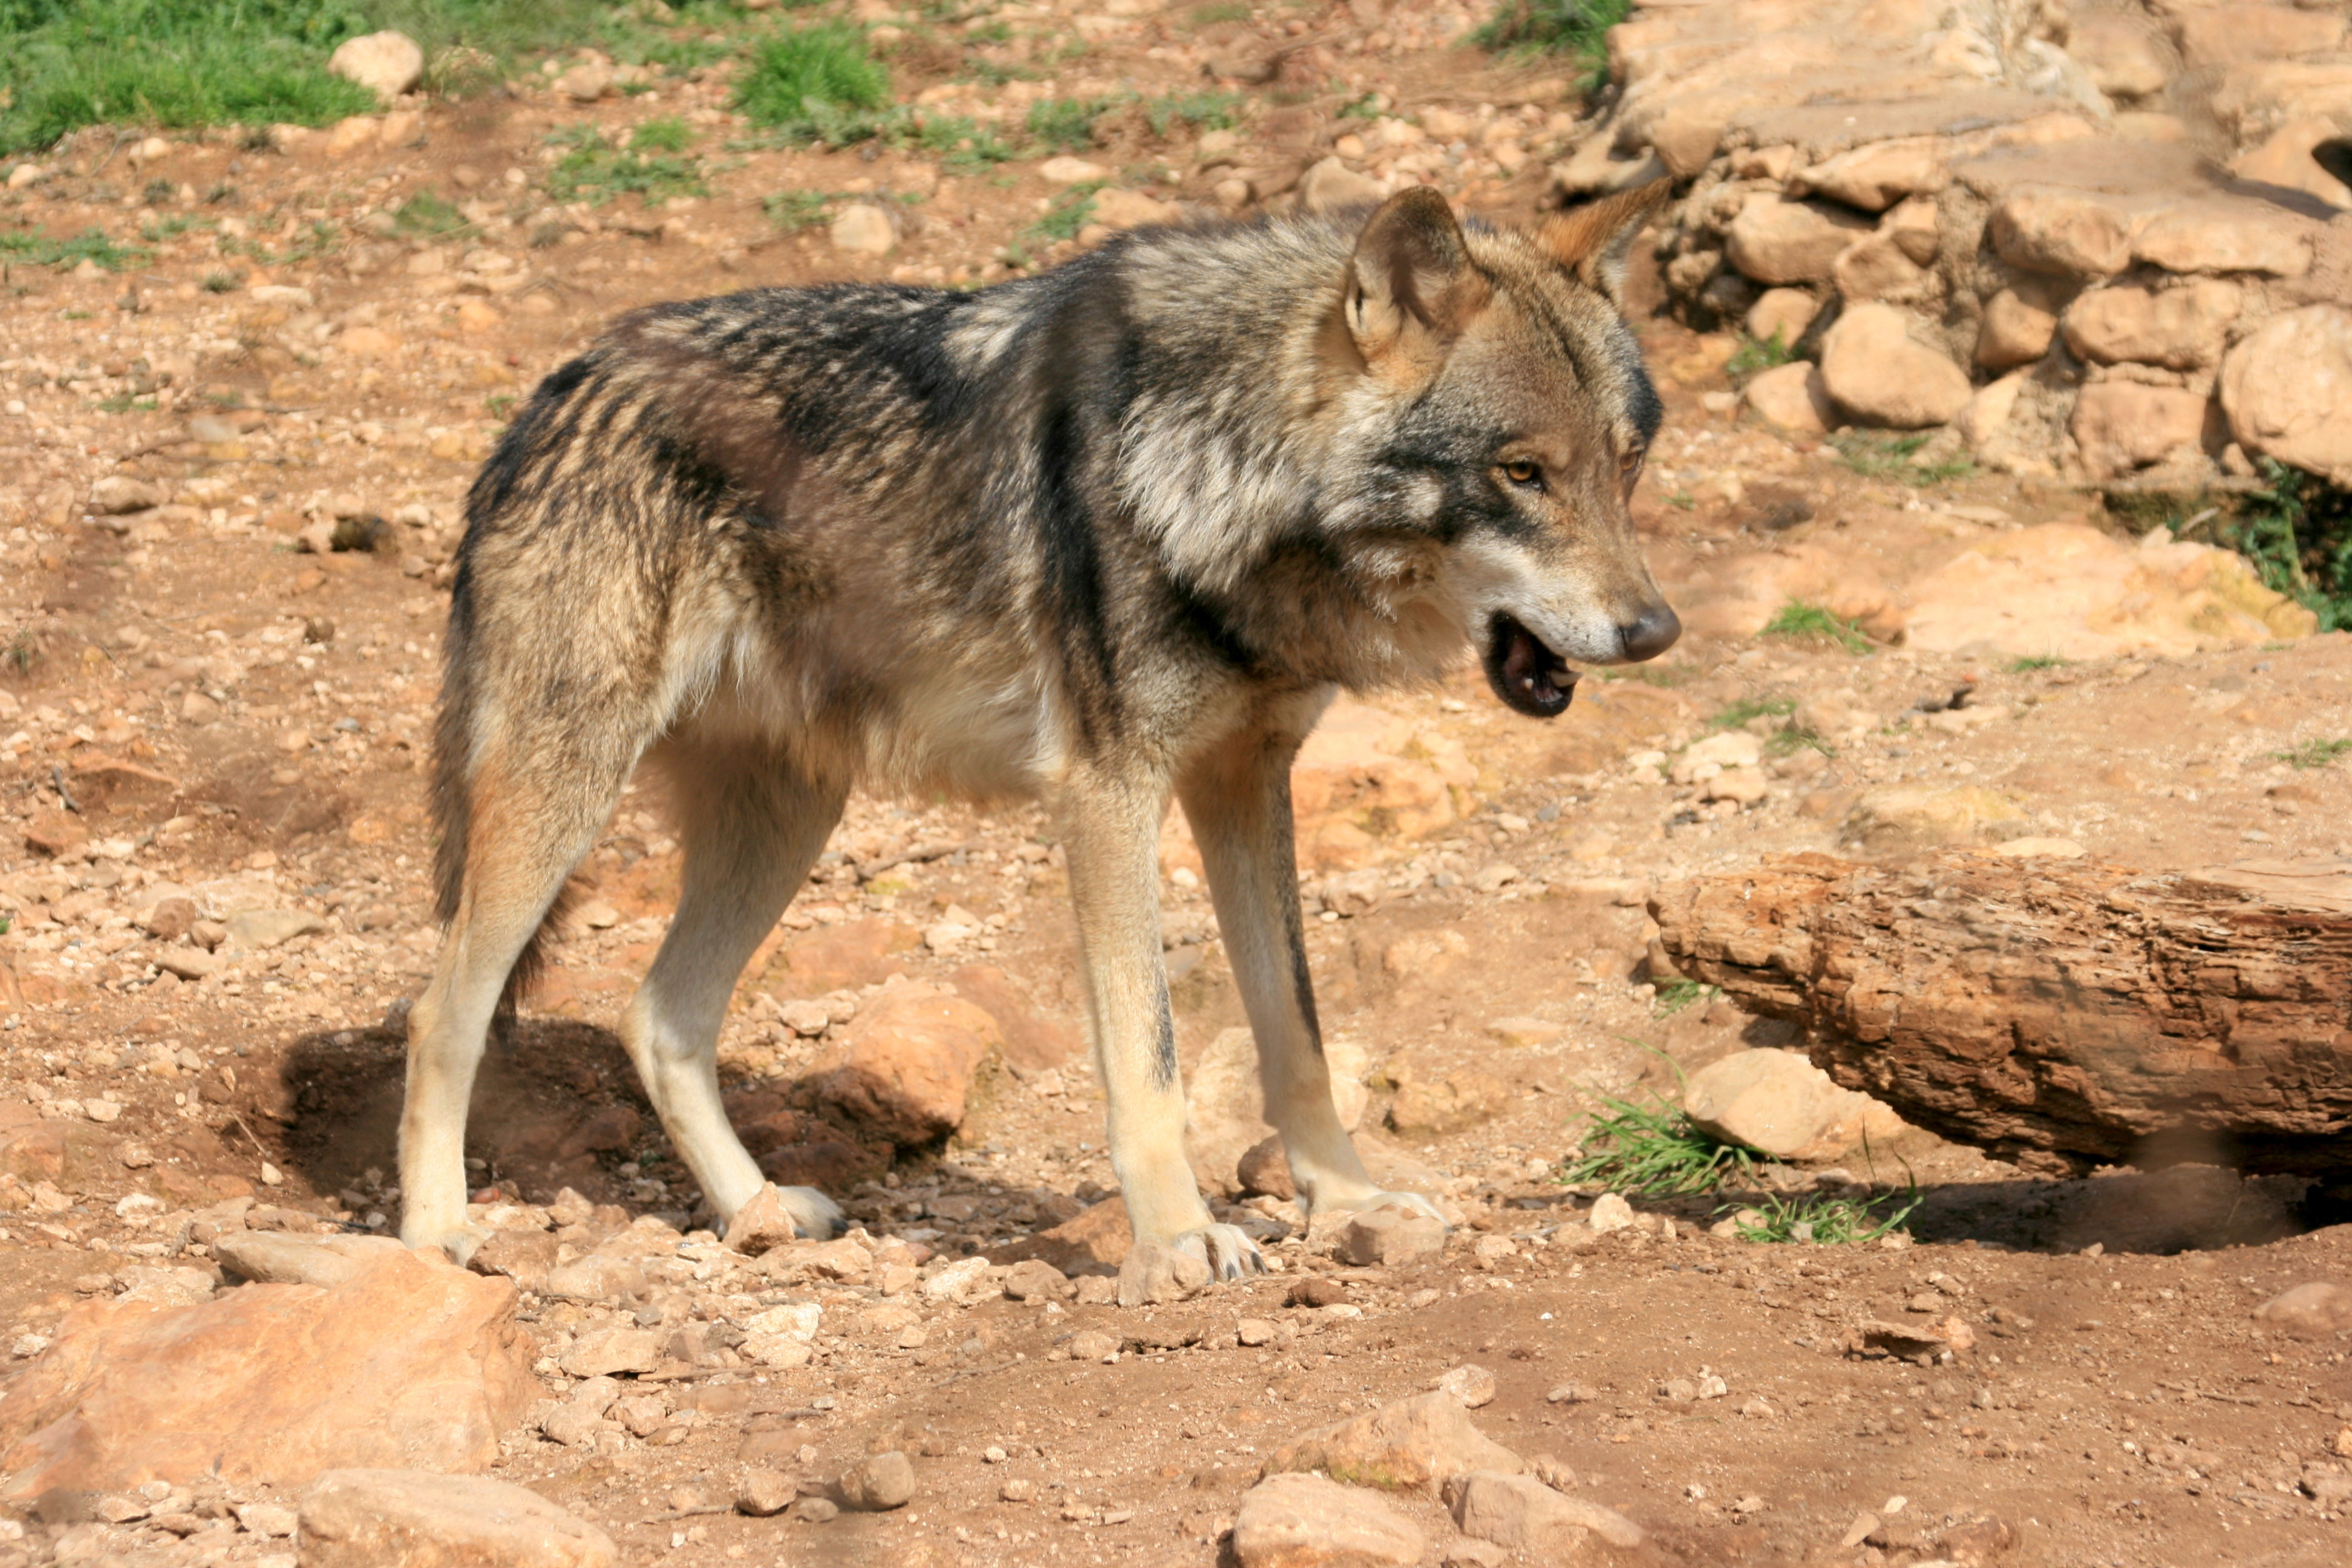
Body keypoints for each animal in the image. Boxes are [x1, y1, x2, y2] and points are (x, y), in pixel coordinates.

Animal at [409, 181, 1693, 1279]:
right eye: (1519, 473)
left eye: (1625, 465)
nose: (1653, 629)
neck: (1217, 461)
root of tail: (558, 390)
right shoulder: (1105, 790)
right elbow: (1148, 1059)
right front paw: (1177, 1241)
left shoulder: (1243, 777)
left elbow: (1298, 1035)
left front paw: (1347, 1201)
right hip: (565, 796)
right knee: (442, 1013)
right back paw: (435, 1236)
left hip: (788, 818)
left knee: (659, 1016)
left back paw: (754, 1209)